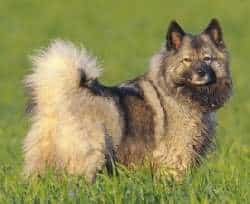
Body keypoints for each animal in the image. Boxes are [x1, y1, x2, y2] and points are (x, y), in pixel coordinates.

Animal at [23, 18, 232, 182]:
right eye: (187, 60)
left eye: (207, 58)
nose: (201, 72)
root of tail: (59, 97)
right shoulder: (176, 159)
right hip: (89, 158)